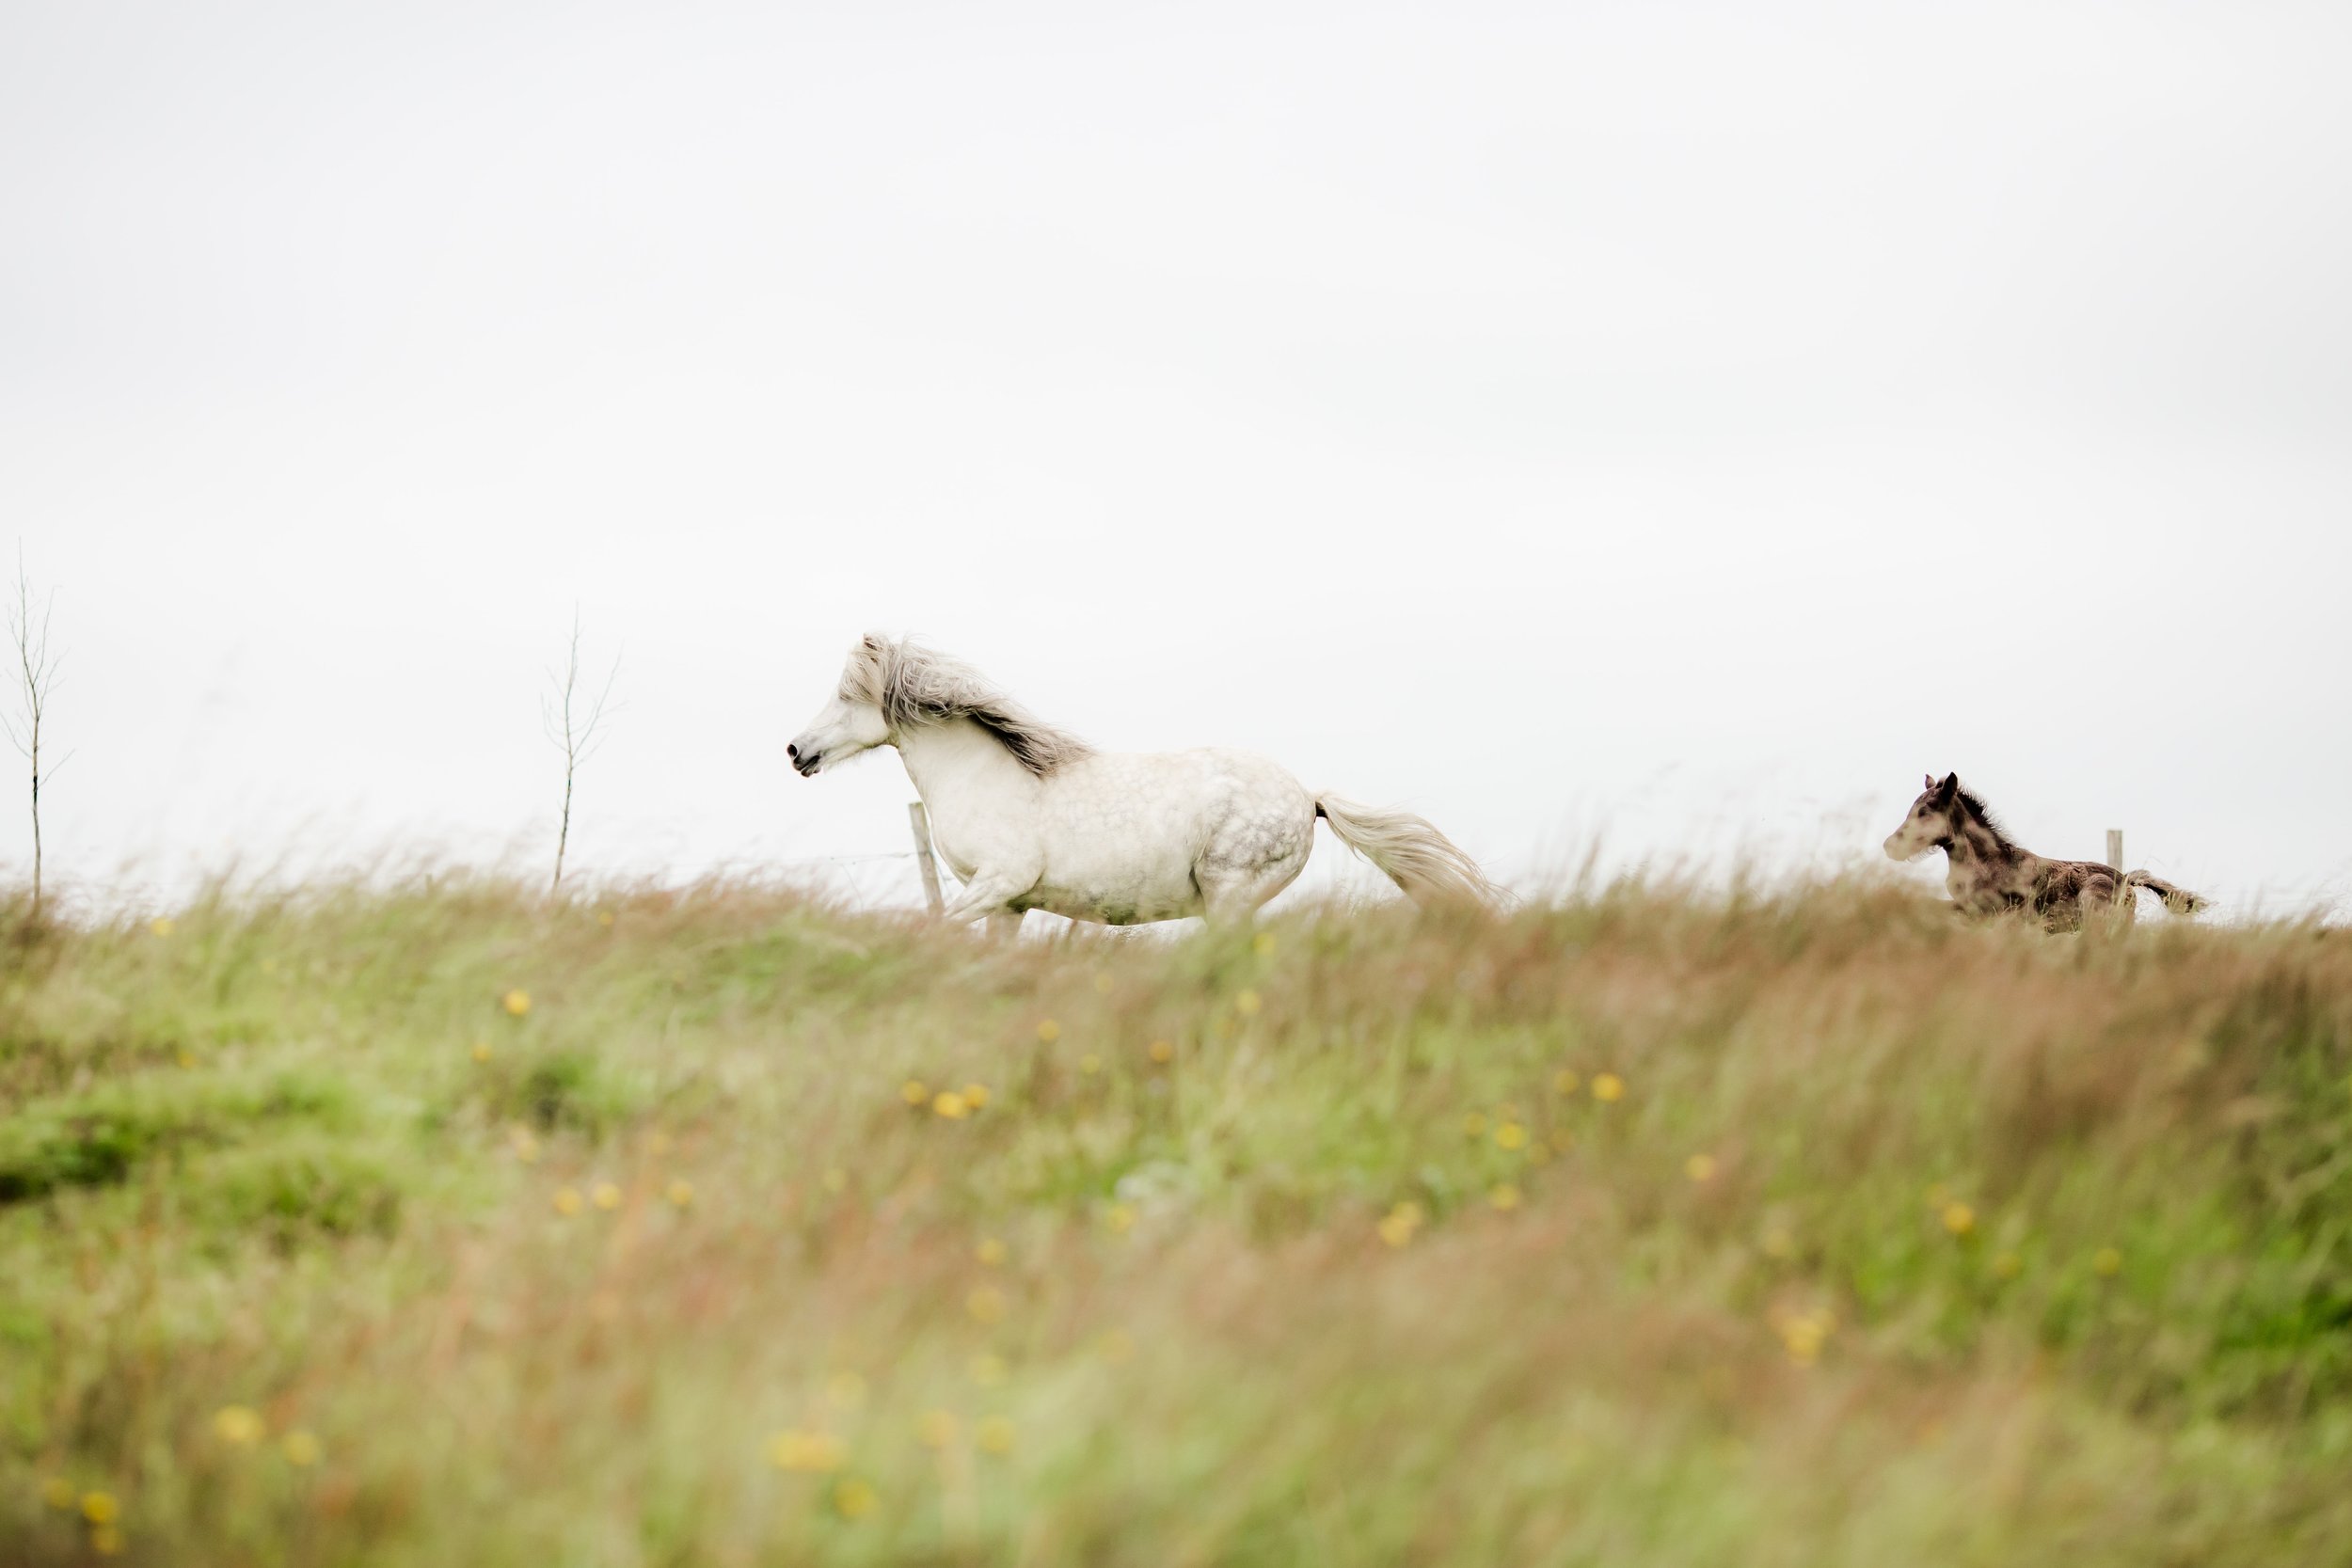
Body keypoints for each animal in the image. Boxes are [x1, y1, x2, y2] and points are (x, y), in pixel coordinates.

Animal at [781, 634, 1496, 930]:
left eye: (845, 696)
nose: (795, 751)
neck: (987, 778)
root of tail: (1308, 797)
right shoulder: (1008, 904)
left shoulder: (998, 883)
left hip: (1230, 894)